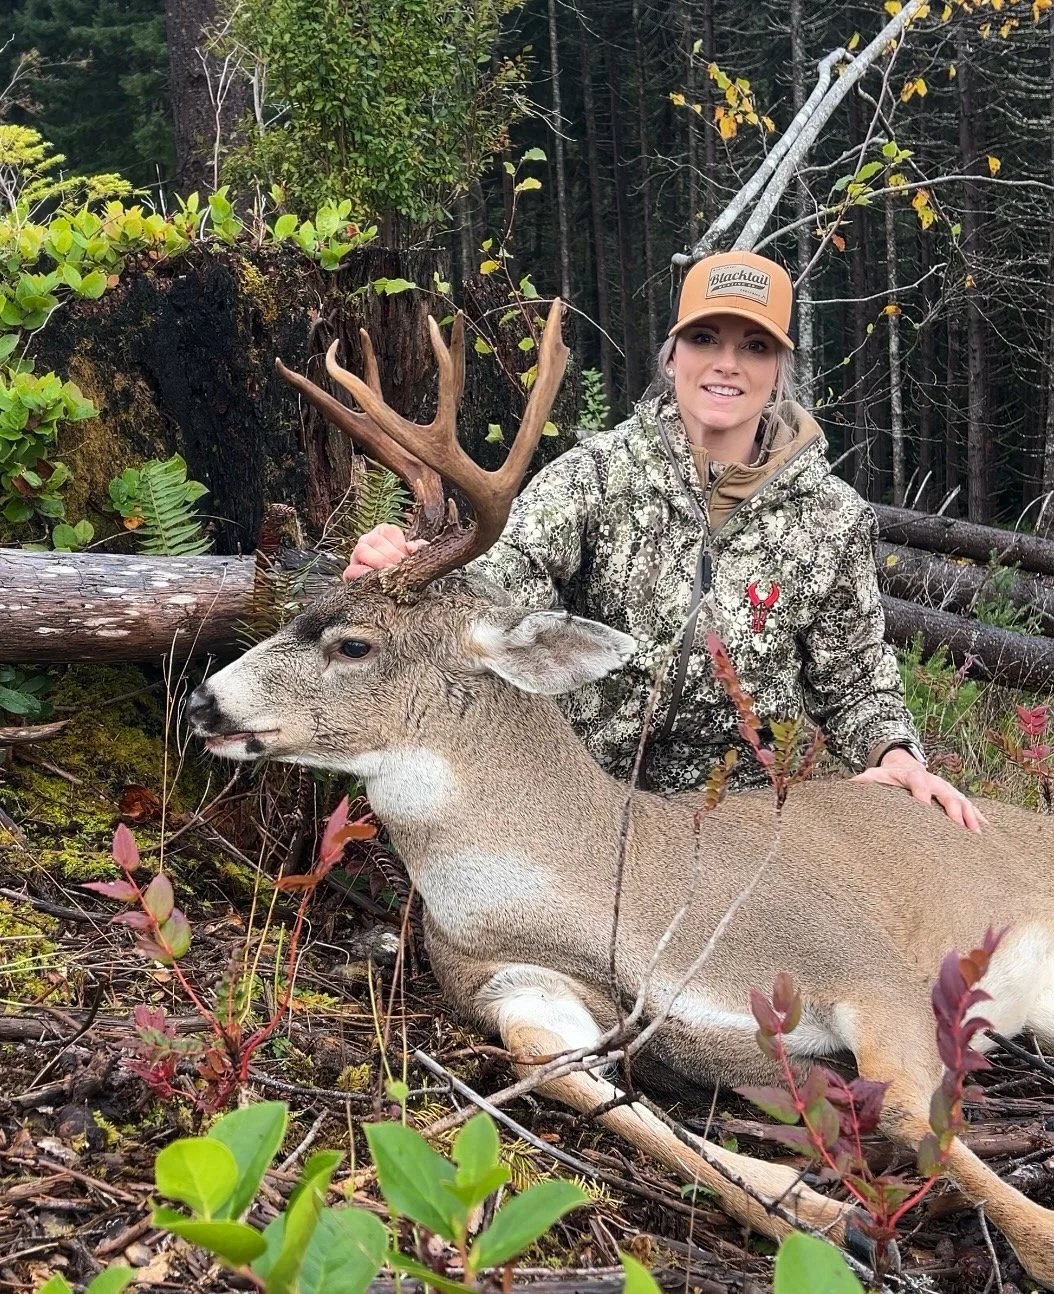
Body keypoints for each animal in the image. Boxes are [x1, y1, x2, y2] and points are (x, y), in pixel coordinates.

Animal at [188, 299, 1054, 1287]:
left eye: (354, 644)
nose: (204, 701)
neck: (625, 894)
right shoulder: (512, 983)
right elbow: (571, 1077)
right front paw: (829, 1215)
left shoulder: (863, 961)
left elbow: (912, 1110)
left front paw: (1038, 1239)